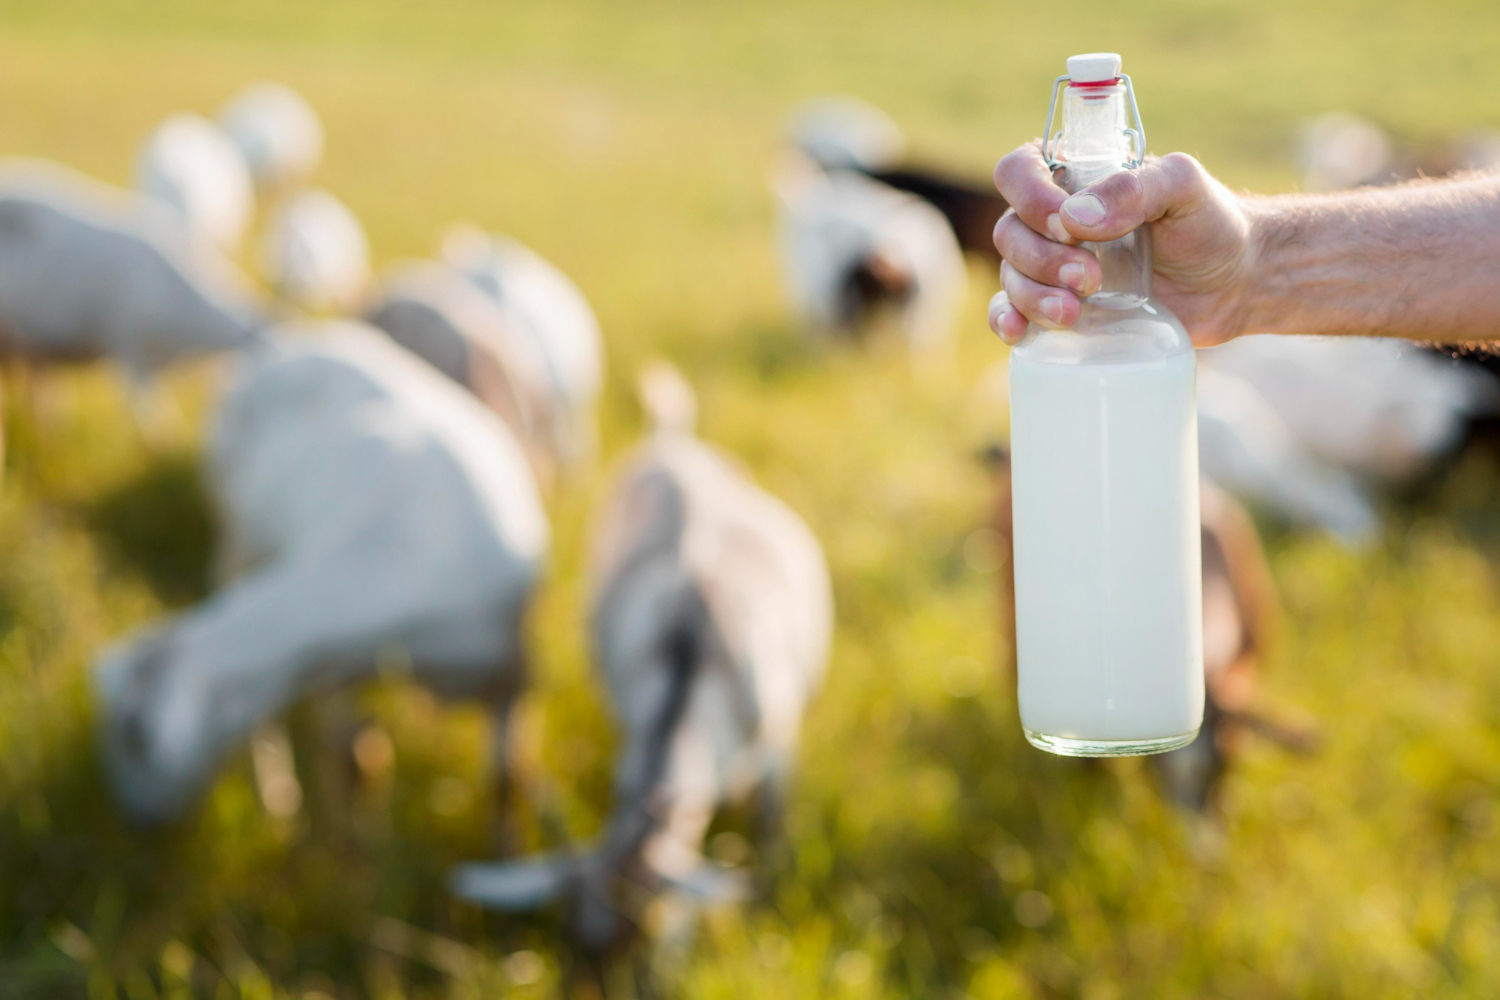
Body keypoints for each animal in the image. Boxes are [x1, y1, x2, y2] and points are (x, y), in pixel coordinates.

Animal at [89, 325, 546, 827]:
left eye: (133, 736)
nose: (134, 820)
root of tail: (283, 343)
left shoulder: (511, 671)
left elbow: (504, 781)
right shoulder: (333, 666)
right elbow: (352, 761)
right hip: (237, 535)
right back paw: (277, 795)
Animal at [450, 361, 840, 953]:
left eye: (644, 937)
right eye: (571, 940)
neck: (693, 658)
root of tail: (670, 442)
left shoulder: (779, 747)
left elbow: (771, 828)